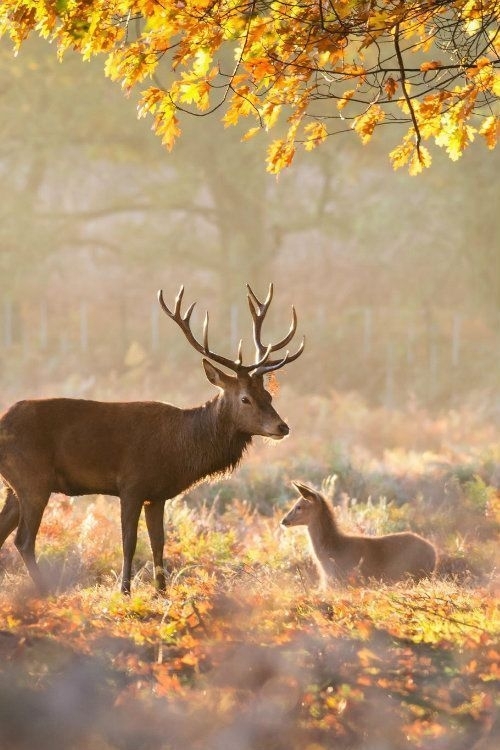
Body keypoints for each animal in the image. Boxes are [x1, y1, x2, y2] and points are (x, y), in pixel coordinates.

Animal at [0, 284, 304, 595]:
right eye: (245, 399)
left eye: (268, 395)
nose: (282, 427)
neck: (180, 451)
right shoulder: (131, 485)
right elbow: (129, 542)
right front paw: (124, 591)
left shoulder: (157, 495)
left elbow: (159, 542)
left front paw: (162, 591)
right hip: (33, 479)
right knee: (24, 540)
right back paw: (45, 591)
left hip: (14, 486)